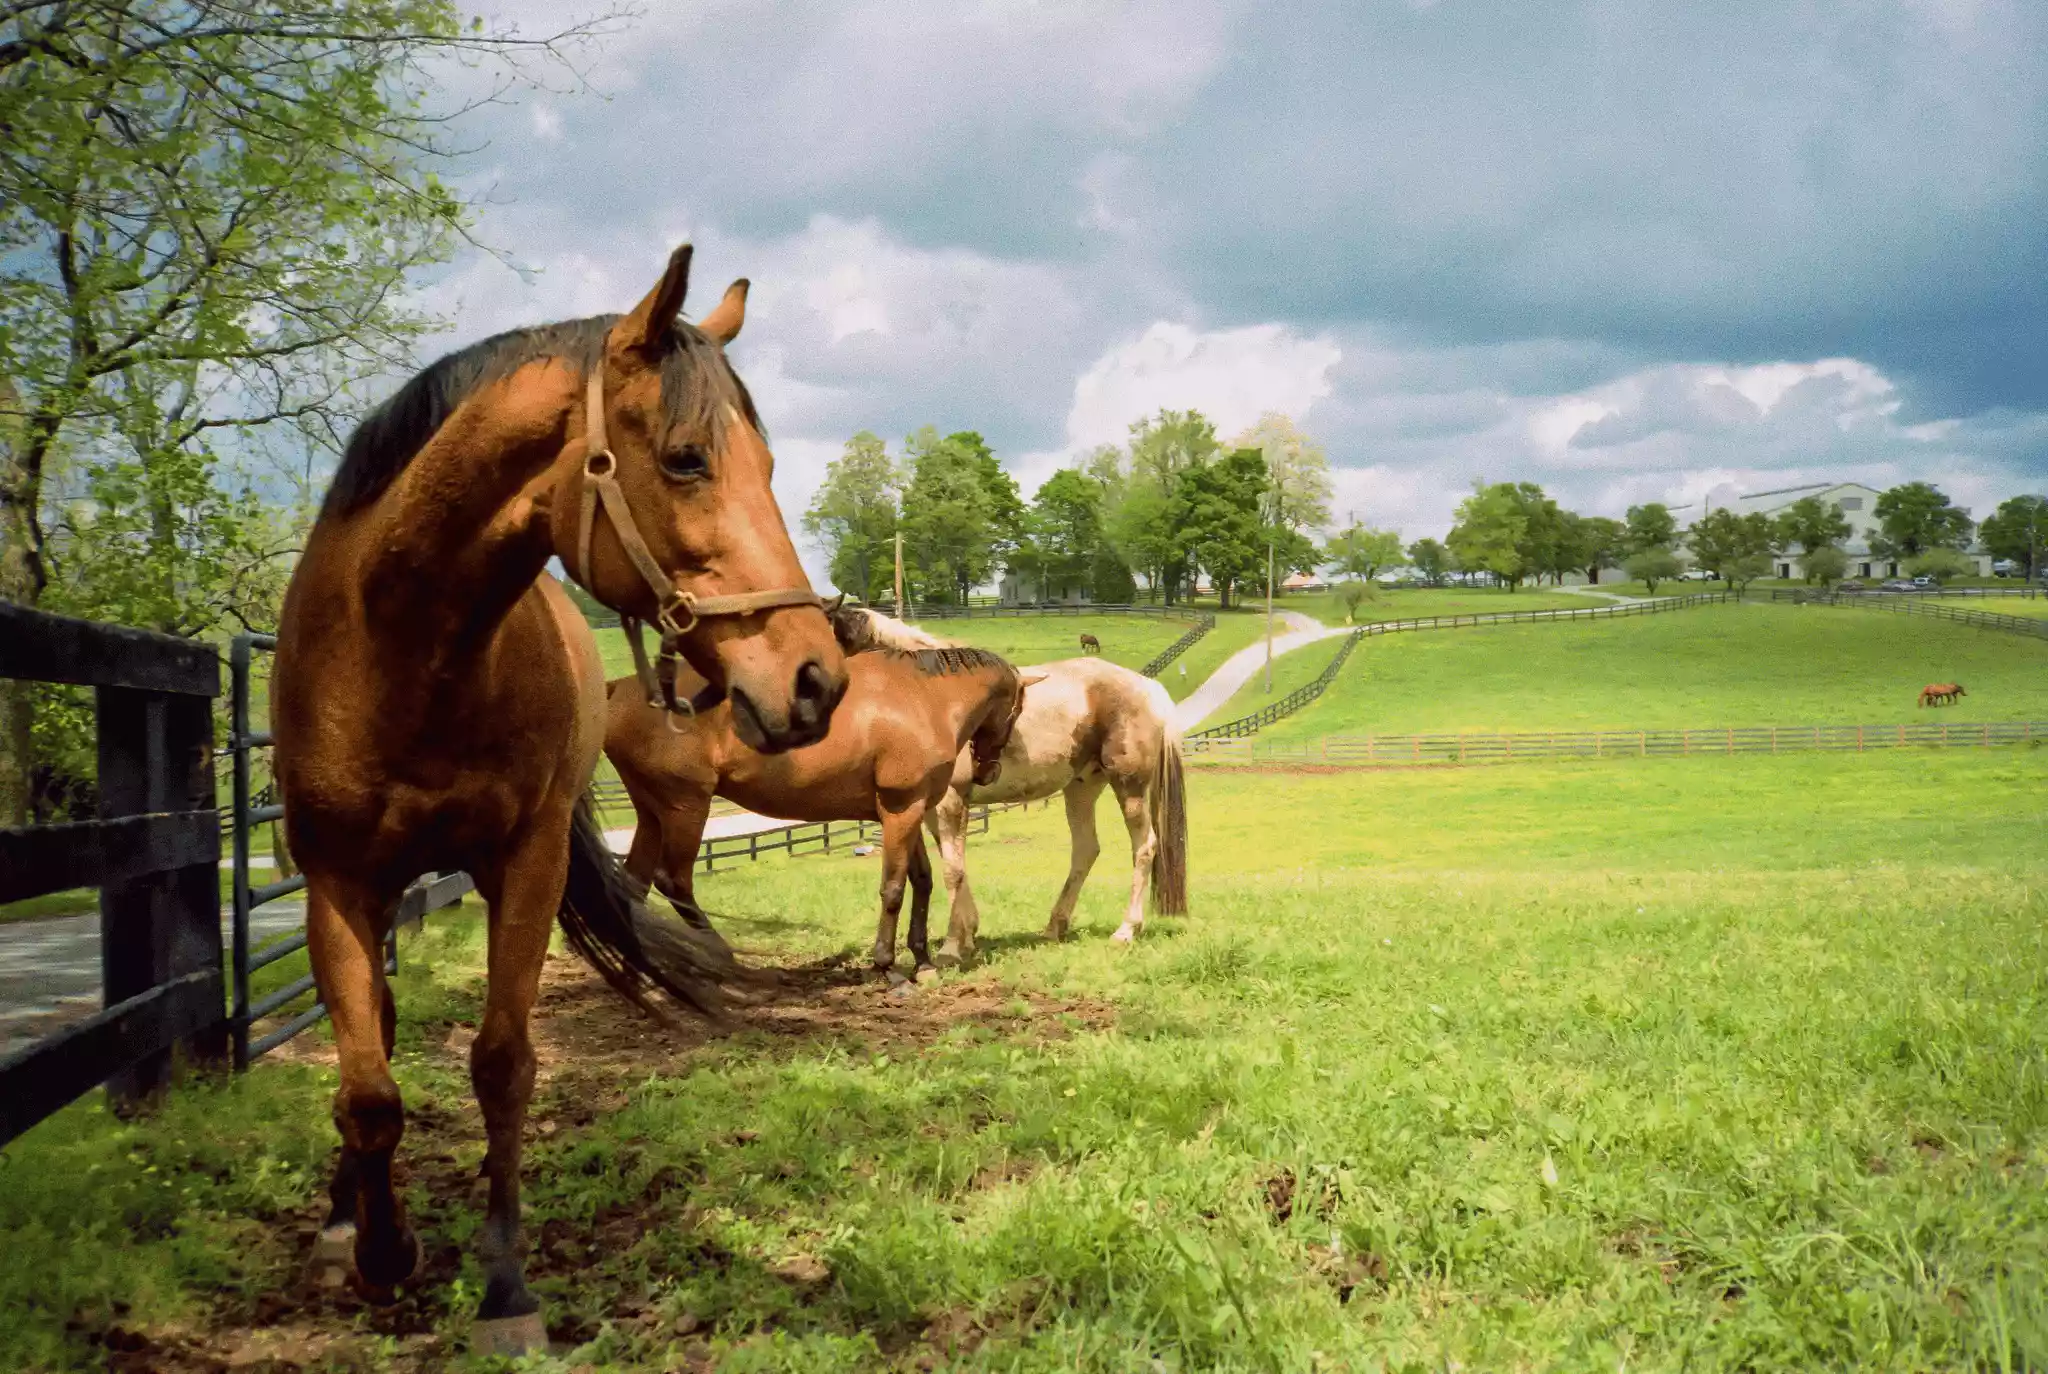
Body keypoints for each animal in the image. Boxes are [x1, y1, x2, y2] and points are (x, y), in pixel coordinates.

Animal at [270, 244, 847, 1355]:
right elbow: (367, 1086)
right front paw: (375, 1250)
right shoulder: (338, 883)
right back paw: (340, 1220)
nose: (815, 681)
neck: (400, 653)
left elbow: (502, 1063)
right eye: (684, 460)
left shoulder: (525, 866)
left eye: (767, 467)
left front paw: (503, 1283)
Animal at [607, 608, 1034, 976]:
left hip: (652, 812)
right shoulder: (902, 809)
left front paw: (923, 961)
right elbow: (894, 888)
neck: (923, 698)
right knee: (673, 881)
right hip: (685, 807)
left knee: (635, 882)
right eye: (1016, 709)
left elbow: (922, 881)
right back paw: (721, 956)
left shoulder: (907, 810)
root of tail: (618, 690)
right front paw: (886, 965)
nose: (988, 771)